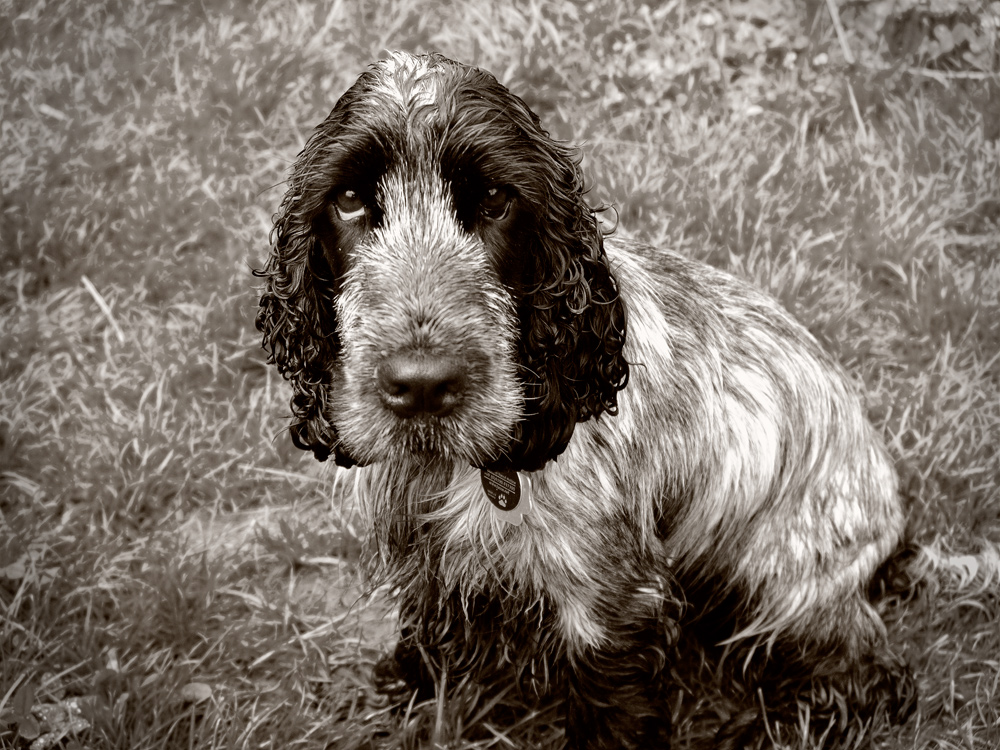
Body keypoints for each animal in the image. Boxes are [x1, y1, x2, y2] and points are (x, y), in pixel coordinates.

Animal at [256, 50, 916, 748]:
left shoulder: (606, 597)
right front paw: (404, 690)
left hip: (778, 574)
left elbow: (611, 705)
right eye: (350, 200)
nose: (423, 383)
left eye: (496, 200)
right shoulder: (425, 557)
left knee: (865, 674)